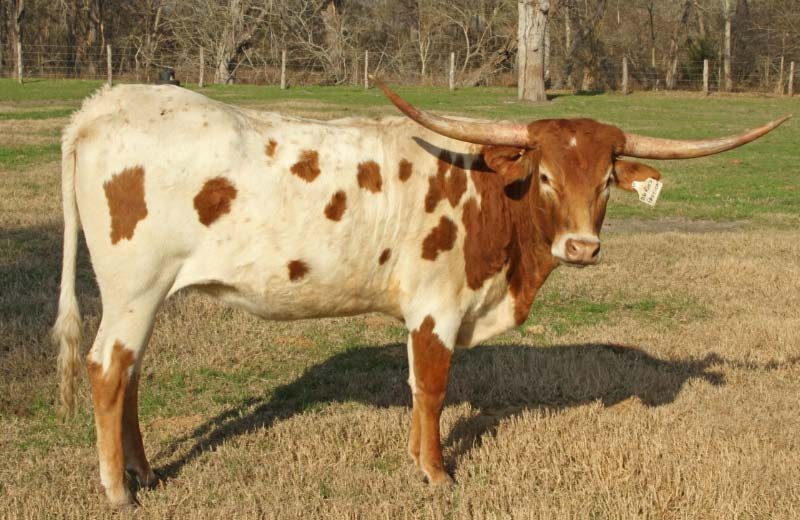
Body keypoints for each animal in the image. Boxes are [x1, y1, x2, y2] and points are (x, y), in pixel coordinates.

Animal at [51, 78, 788, 507]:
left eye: (607, 179)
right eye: (546, 176)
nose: (582, 248)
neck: (491, 193)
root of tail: (100, 109)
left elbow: (418, 389)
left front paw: (418, 460)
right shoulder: (438, 305)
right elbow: (431, 387)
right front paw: (436, 472)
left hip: (146, 294)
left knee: (130, 372)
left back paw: (145, 472)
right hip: (134, 287)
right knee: (107, 368)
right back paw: (117, 490)